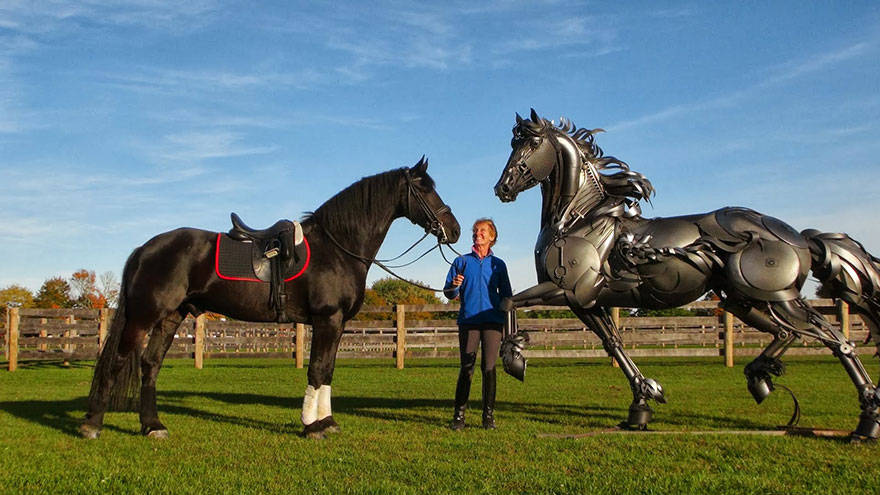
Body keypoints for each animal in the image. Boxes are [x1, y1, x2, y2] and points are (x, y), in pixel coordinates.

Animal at [80, 158, 460, 438]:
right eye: (425, 189)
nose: (454, 230)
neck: (337, 247)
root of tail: (145, 249)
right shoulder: (327, 319)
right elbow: (317, 369)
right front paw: (312, 426)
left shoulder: (336, 324)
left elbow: (328, 370)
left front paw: (327, 422)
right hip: (144, 316)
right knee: (118, 361)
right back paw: (92, 424)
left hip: (172, 316)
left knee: (150, 365)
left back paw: (152, 426)